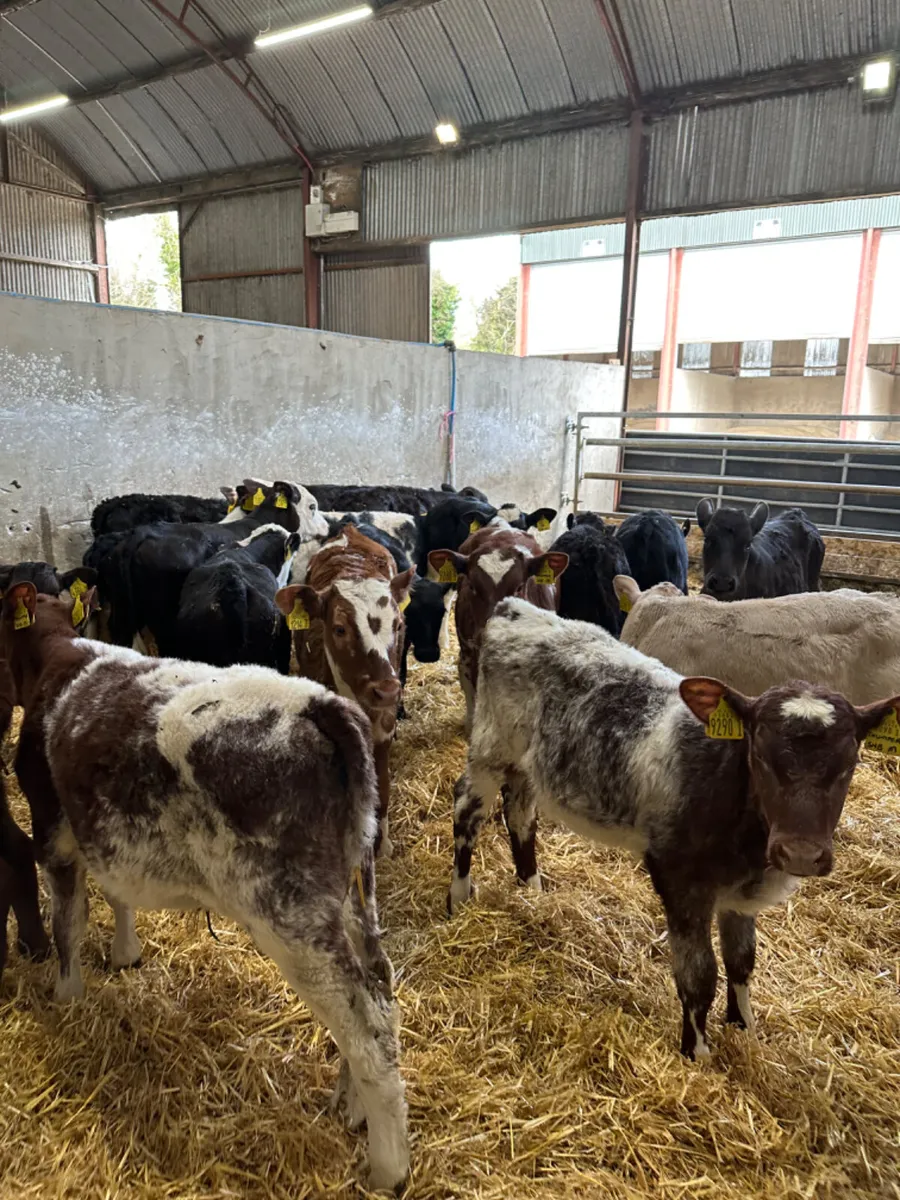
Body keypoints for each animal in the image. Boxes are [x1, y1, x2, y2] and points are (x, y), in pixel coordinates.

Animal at [1, 581, 408, 1192]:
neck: (58, 660)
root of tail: (323, 705)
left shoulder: (54, 830)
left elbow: (67, 921)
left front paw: (66, 996)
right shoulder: (108, 830)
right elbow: (116, 892)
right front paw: (125, 953)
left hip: (291, 916)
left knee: (367, 1026)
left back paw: (388, 1166)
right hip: (352, 890)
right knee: (377, 990)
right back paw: (351, 1107)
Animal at [277, 526, 414, 857]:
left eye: (398, 625)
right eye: (340, 629)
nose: (387, 691)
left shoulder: (384, 728)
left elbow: (383, 787)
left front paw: (383, 844)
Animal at [447, 596, 900, 1059]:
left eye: (849, 763)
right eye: (760, 754)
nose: (802, 854)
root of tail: (516, 607)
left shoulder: (739, 894)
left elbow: (742, 961)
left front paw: (743, 1026)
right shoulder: (678, 878)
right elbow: (699, 976)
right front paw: (696, 1053)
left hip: (526, 766)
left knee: (520, 814)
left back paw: (531, 889)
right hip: (489, 748)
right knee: (467, 811)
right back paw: (459, 895)